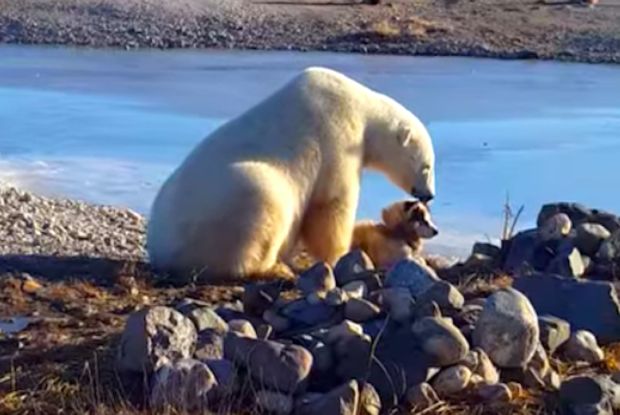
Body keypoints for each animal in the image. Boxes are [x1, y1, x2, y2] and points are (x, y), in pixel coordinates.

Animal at [147, 66, 436, 282]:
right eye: (427, 166)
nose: (429, 194)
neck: (361, 107)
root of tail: (160, 248)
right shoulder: (338, 138)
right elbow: (331, 205)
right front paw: (340, 254)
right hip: (227, 203)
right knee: (262, 201)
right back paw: (274, 268)